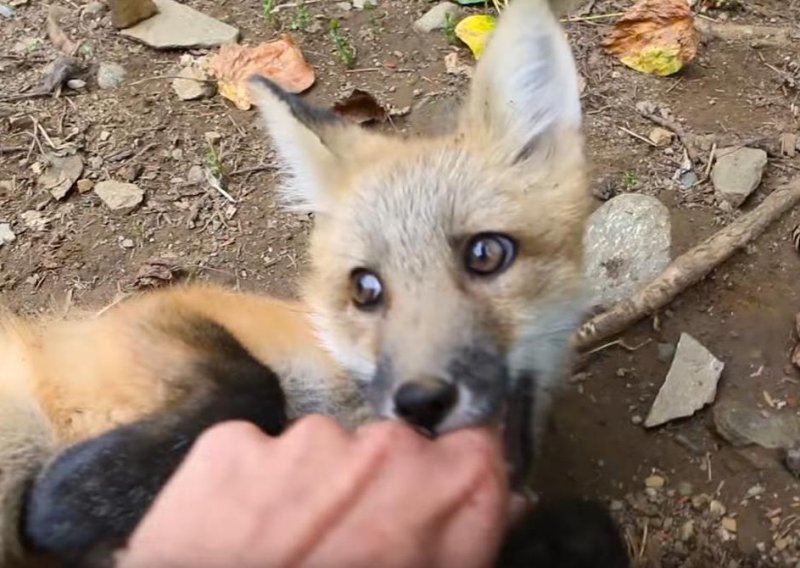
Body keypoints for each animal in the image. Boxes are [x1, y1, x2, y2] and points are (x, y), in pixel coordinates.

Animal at [1, 0, 632, 564]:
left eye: (486, 254)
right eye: (366, 288)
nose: (420, 402)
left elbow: (590, 529)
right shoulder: (148, 318)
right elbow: (250, 384)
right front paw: (66, 498)